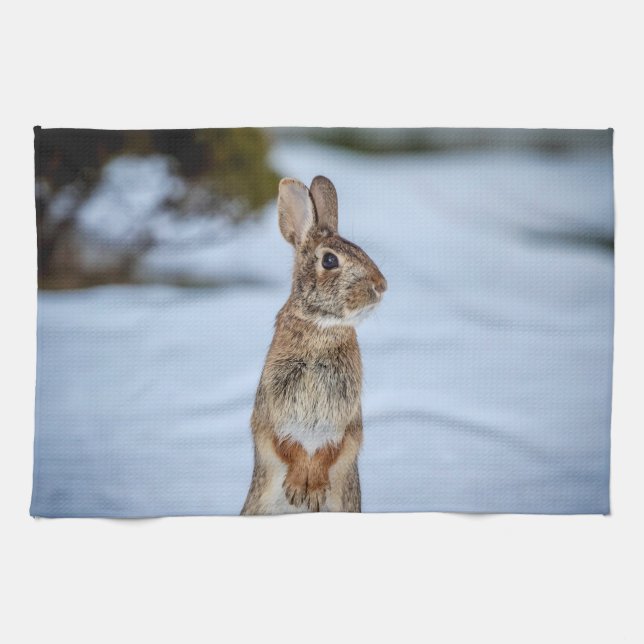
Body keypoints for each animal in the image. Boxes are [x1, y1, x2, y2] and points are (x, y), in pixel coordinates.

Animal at [241, 175, 387, 514]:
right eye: (330, 260)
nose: (381, 285)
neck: (321, 327)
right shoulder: (272, 410)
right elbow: (286, 445)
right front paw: (298, 489)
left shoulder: (347, 419)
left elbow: (333, 449)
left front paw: (314, 490)